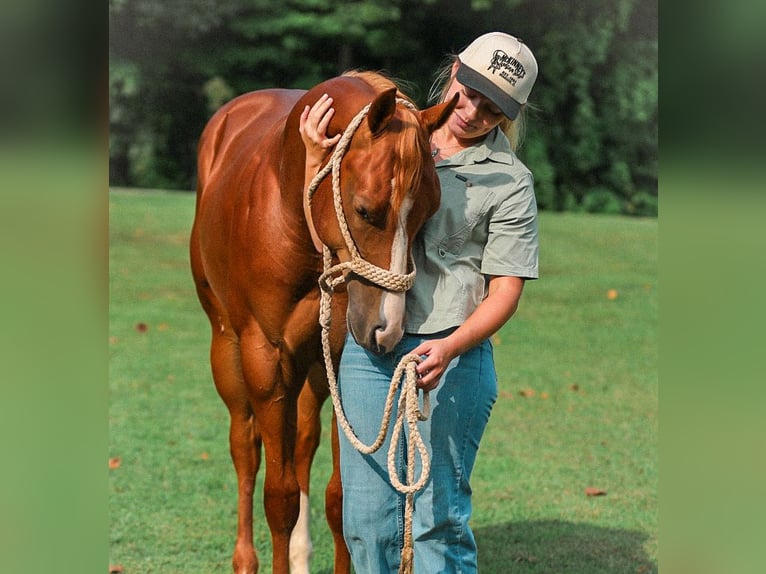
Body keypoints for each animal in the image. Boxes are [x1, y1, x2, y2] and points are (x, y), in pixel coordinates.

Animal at [189, 71, 457, 574]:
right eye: (366, 209)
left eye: (429, 215)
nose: (387, 329)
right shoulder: (267, 365)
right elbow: (279, 499)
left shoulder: (334, 362)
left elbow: (338, 499)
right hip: (228, 352)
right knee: (244, 451)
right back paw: (245, 559)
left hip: (311, 373)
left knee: (302, 444)